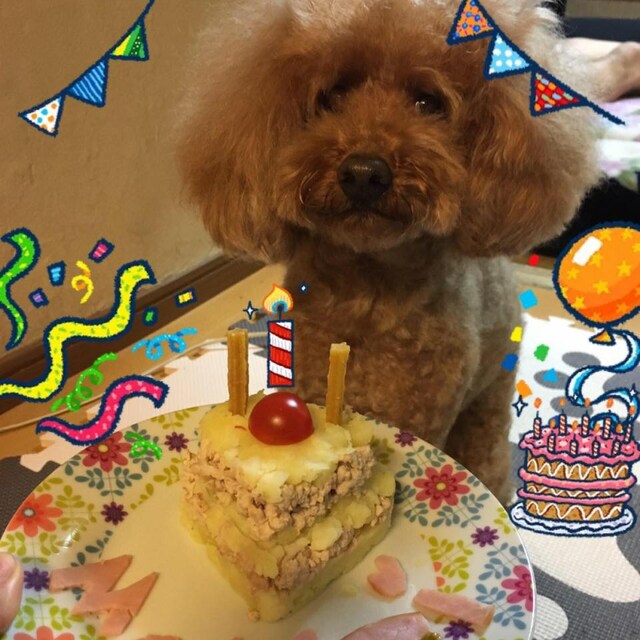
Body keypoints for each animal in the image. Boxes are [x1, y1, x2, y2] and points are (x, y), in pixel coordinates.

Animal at [176, 0, 602, 504]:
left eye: (428, 102)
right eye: (332, 95)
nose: (363, 173)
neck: (368, 289)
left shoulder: (422, 414)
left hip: (490, 397)